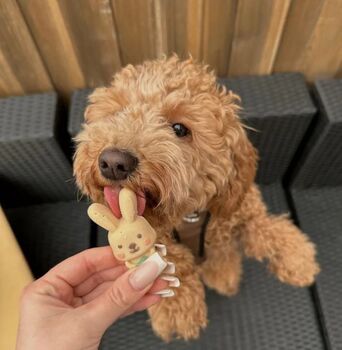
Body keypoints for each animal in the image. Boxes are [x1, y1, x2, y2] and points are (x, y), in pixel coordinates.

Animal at [73, 56, 320, 340]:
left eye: (180, 129)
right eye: (116, 113)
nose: (114, 162)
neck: (190, 214)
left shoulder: (238, 210)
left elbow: (265, 229)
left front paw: (298, 260)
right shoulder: (162, 235)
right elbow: (173, 258)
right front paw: (177, 309)